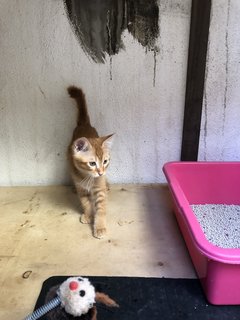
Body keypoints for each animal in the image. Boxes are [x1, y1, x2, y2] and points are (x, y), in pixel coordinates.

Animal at [66, 86, 113, 239]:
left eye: (105, 161)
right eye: (92, 164)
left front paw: (100, 227)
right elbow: (86, 203)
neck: (87, 177)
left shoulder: (99, 189)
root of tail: (84, 124)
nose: (101, 172)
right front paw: (88, 215)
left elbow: (101, 209)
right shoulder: (82, 189)